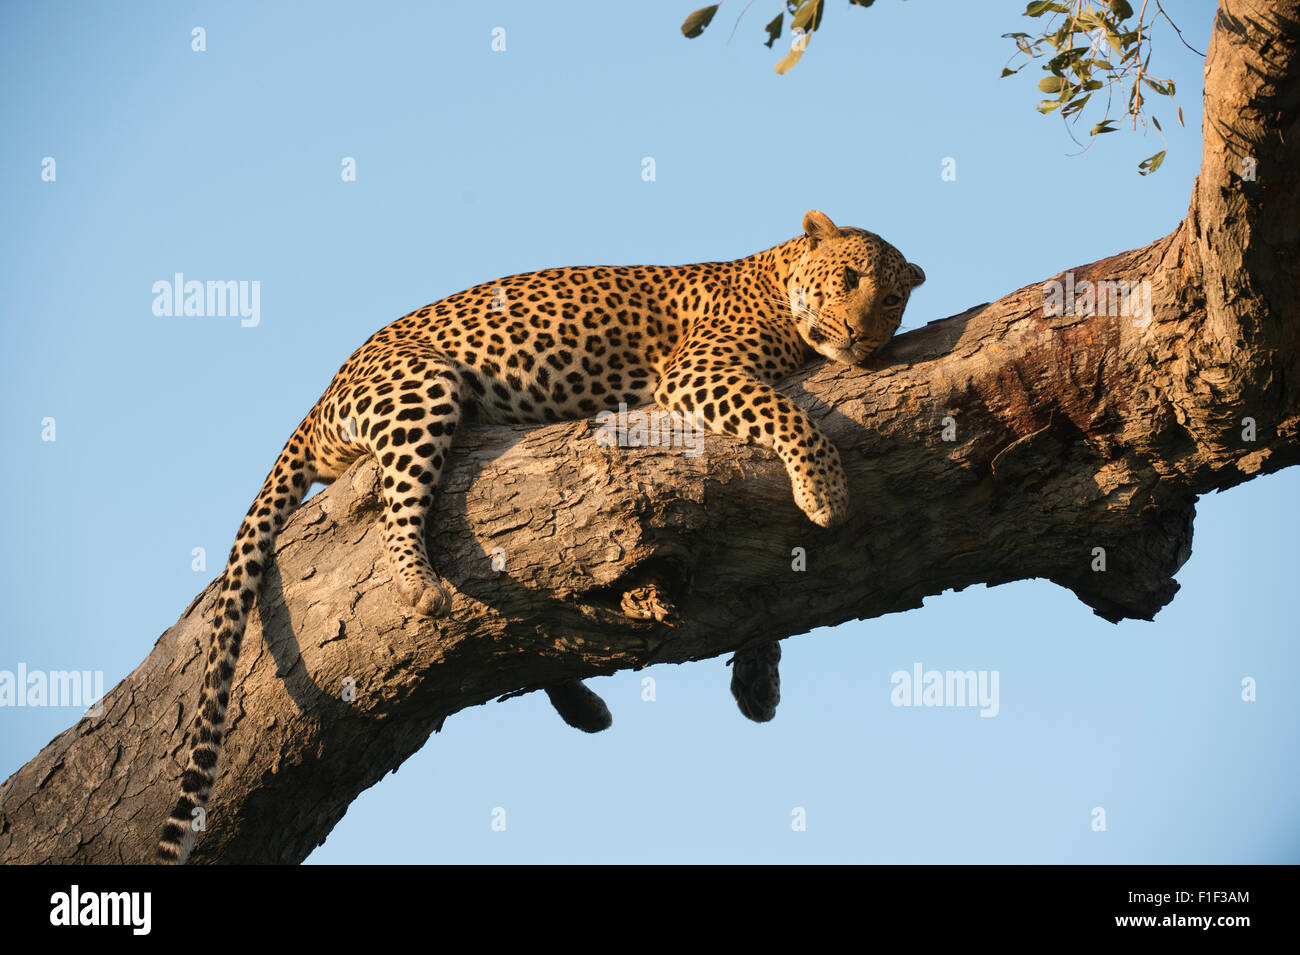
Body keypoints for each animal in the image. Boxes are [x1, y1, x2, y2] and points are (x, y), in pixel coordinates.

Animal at [156, 210, 924, 863]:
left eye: (892, 299)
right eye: (850, 281)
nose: (862, 336)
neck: (774, 276)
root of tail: (323, 397)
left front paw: (759, 676)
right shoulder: (698, 369)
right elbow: (789, 415)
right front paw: (825, 491)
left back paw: (581, 700)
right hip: (421, 388)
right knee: (398, 504)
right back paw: (420, 584)